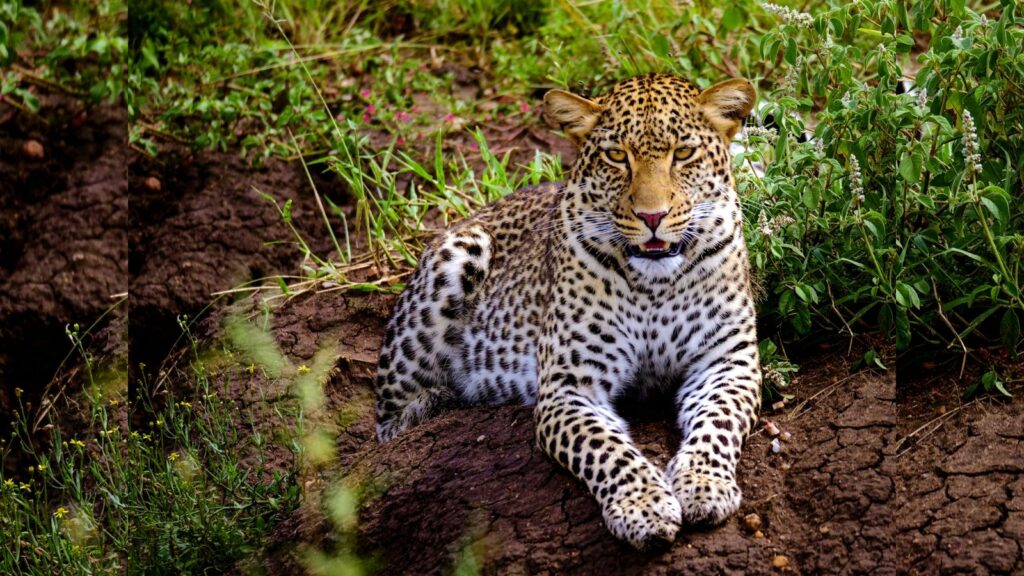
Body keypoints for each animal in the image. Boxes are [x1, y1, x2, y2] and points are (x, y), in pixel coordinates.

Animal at [374, 73, 762, 551]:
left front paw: (703, 485)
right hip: (455, 258)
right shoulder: (568, 387)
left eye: (684, 153)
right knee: (387, 425)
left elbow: (718, 424)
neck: (655, 283)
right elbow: (606, 449)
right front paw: (644, 507)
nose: (652, 216)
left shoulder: (727, 363)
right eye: (617, 156)